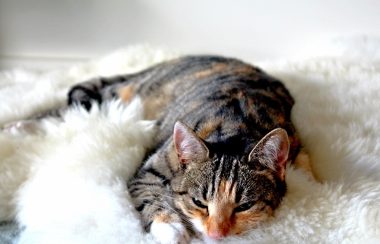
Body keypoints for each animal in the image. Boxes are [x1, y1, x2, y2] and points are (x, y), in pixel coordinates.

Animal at [5, 56, 310, 243]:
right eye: (199, 202)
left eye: (244, 206)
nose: (216, 234)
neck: (238, 127)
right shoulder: (150, 169)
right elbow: (151, 196)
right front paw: (172, 229)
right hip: (117, 96)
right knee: (66, 111)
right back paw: (16, 126)